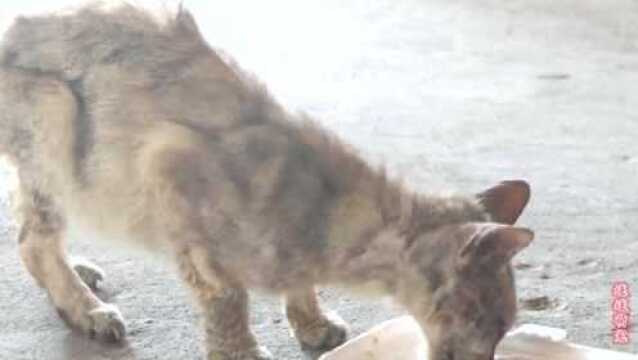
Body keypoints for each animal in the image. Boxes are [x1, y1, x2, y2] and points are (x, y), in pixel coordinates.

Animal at [0, 3, 536, 360]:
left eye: (505, 329)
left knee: (27, 225)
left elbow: (297, 283)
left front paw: (312, 324)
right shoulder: (170, 172)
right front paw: (241, 352)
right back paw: (86, 309)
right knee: (32, 238)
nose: (488, 357)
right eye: (489, 322)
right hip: (57, 121)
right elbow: (228, 302)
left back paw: (78, 273)